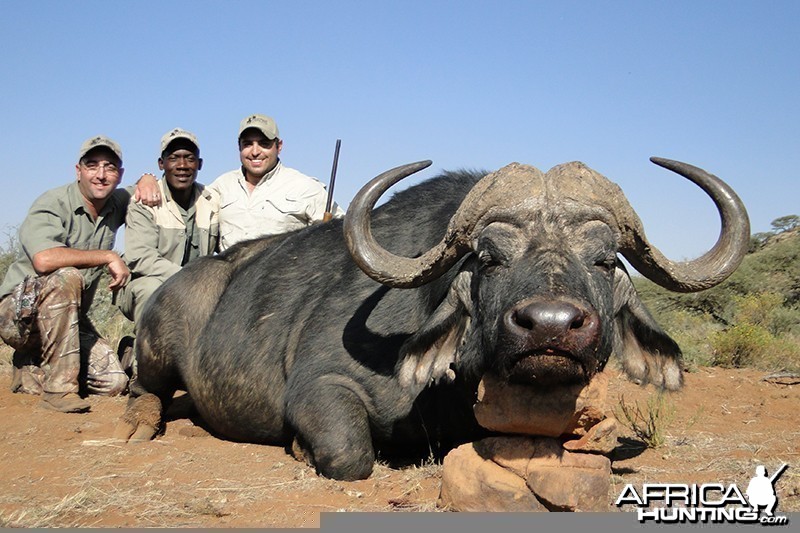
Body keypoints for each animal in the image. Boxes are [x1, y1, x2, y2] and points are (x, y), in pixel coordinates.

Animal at [115, 156, 752, 480]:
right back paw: (139, 425)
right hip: (156, 346)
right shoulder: (320, 387)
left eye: (603, 259)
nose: (550, 325)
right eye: (489, 257)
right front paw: (299, 448)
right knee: (144, 388)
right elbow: (350, 456)